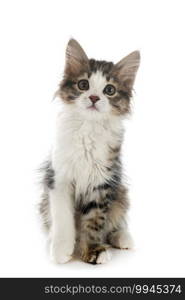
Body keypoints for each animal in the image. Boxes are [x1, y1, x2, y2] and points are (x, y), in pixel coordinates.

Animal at [39, 38, 140, 264]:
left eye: (109, 90)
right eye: (83, 85)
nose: (94, 97)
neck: (88, 128)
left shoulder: (102, 183)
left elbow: (95, 221)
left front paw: (93, 250)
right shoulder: (58, 179)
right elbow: (62, 218)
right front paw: (61, 250)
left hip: (121, 193)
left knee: (115, 223)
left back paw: (123, 238)